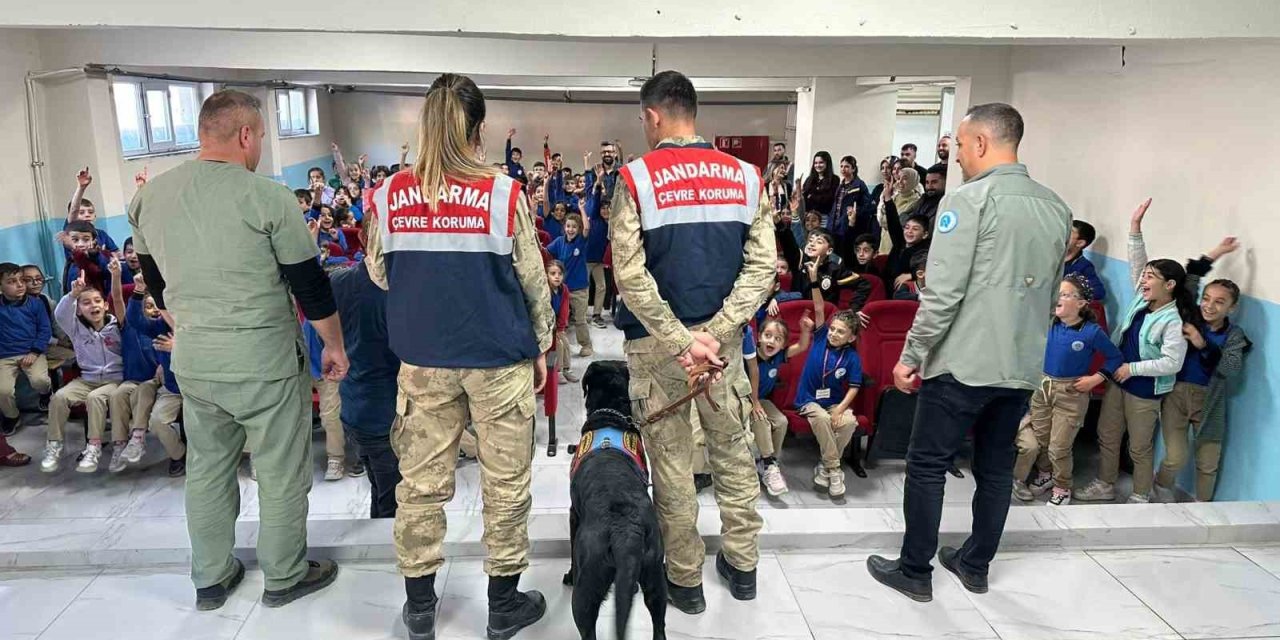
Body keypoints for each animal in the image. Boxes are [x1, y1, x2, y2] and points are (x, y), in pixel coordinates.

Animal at [568, 363, 670, 637]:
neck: (611, 413)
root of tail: (624, 530)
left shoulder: (574, 515)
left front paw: (568, 574)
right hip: (655, 573)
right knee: (659, 623)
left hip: (586, 588)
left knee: (587, 628)